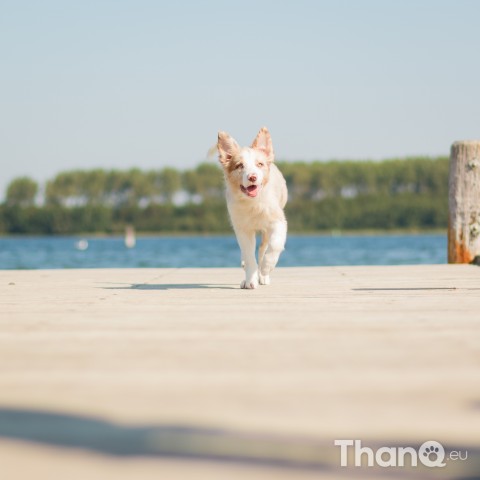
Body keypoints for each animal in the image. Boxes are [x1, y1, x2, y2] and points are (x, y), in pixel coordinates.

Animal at [218, 125, 288, 288]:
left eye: (259, 164)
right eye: (239, 166)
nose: (252, 177)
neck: (253, 203)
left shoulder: (278, 222)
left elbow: (274, 246)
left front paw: (266, 269)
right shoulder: (242, 228)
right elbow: (250, 257)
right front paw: (250, 281)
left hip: (266, 230)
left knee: (263, 248)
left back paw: (264, 276)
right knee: (247, 254)